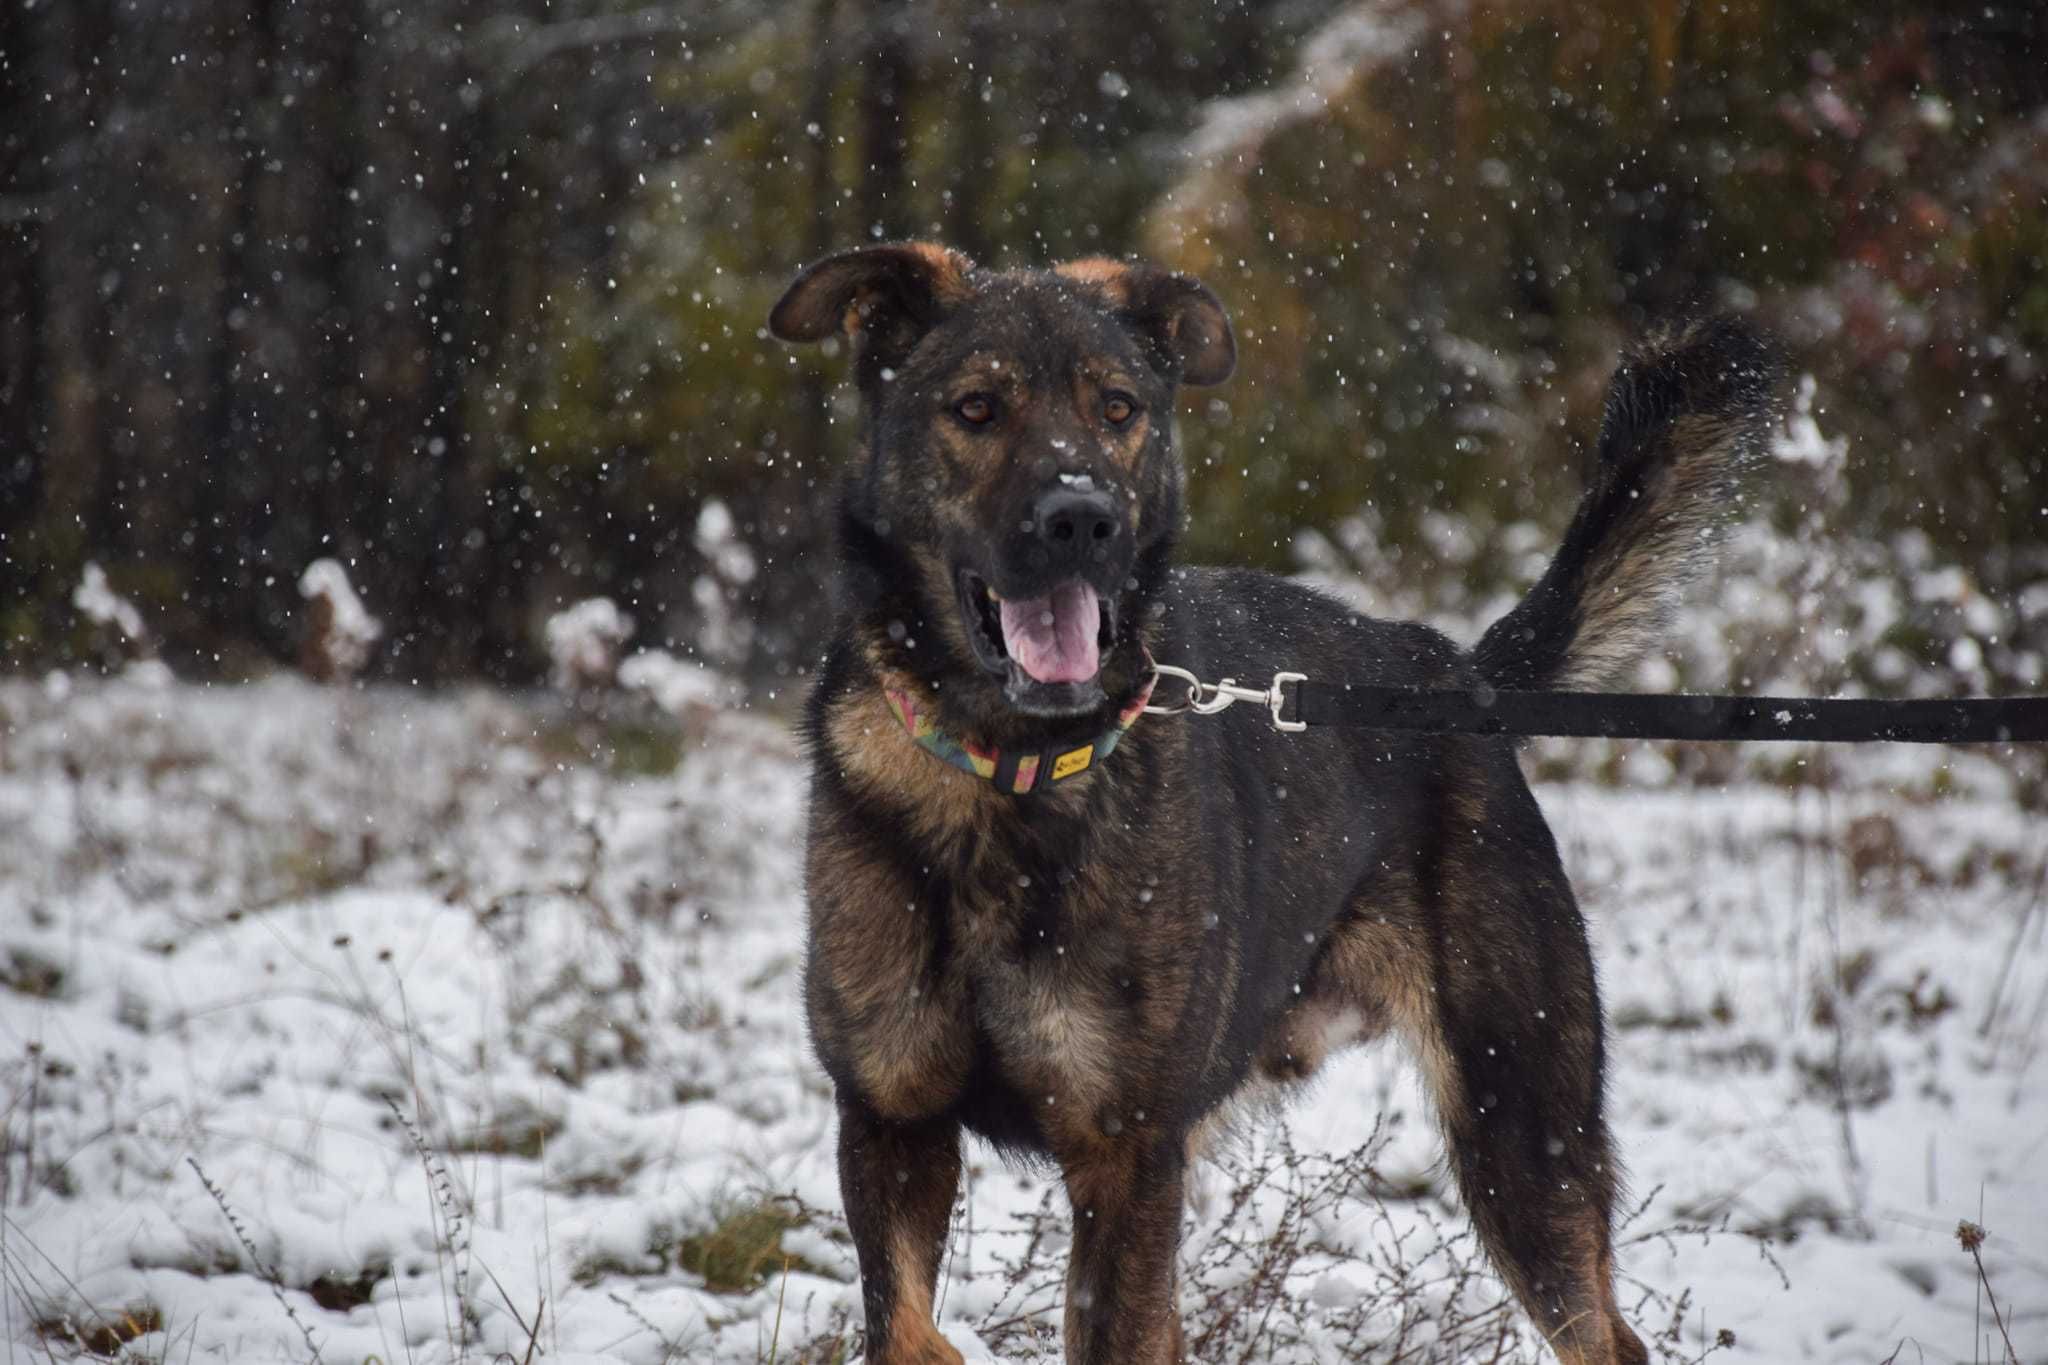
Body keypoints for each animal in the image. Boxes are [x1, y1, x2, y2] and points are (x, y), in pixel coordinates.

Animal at [770, 245, 1777, 1365]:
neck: (1007, 770)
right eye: (976, 407)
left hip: (1521, 1126)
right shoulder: (890, 1122)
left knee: (1601, 1330)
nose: (1082, 521)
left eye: (1117, 408)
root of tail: (1455, 676)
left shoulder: (1125, 1156)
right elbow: (905, 1328)